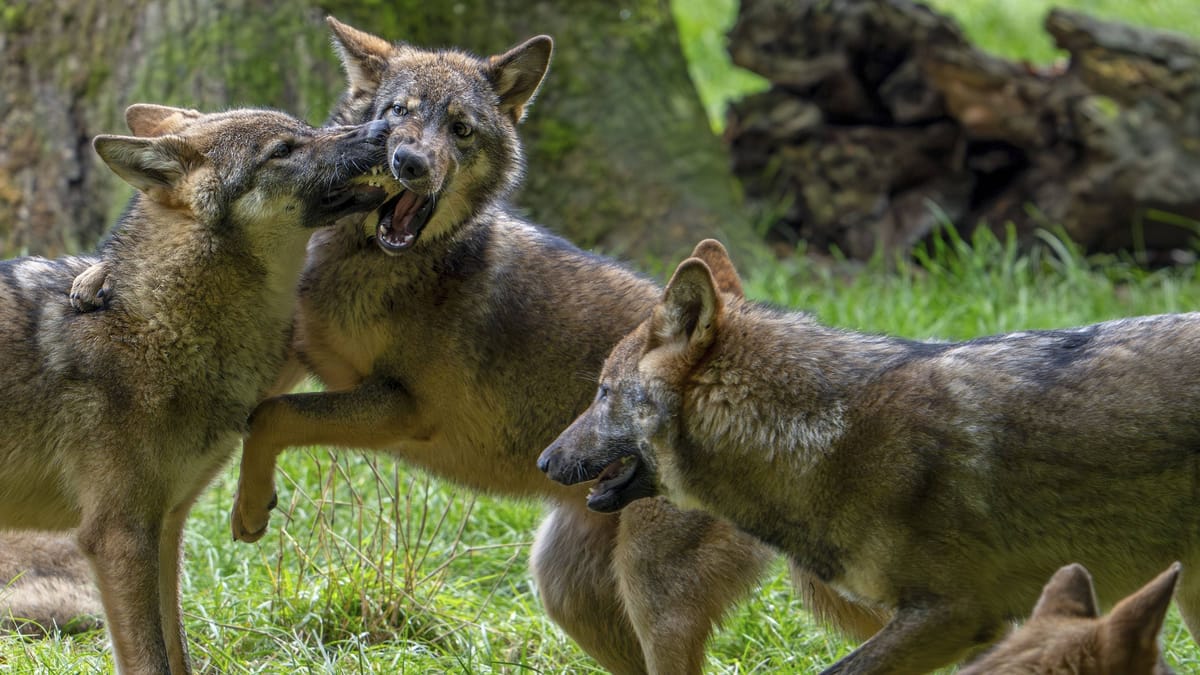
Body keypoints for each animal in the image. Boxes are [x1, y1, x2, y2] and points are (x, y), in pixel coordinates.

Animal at [1, 104, 388, 674]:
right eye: (283, 150)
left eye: (307, 128)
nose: (384, 128)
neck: (156, 321)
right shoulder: (119, 536)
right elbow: (151, 660)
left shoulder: (166, 529)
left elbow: (176, 652)